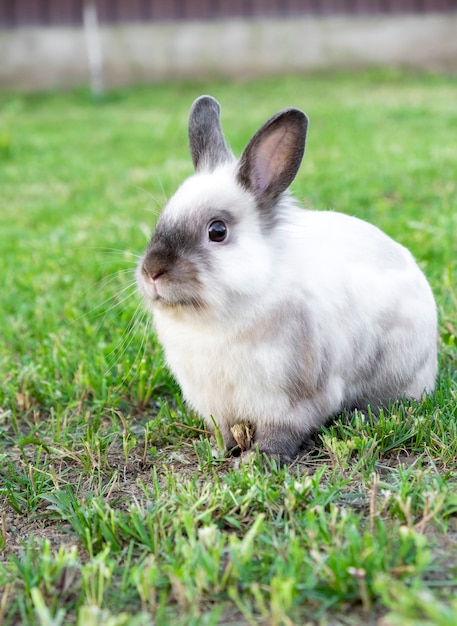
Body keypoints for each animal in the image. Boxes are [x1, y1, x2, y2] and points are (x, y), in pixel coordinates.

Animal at [136, 94, 438, 464]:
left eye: (217, 231)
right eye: (161, 220)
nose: (152, 271)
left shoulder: (292, 399)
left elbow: (282, 432)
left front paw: (259, 461)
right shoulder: (216, 403)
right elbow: (225, 431)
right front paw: (221, 451)